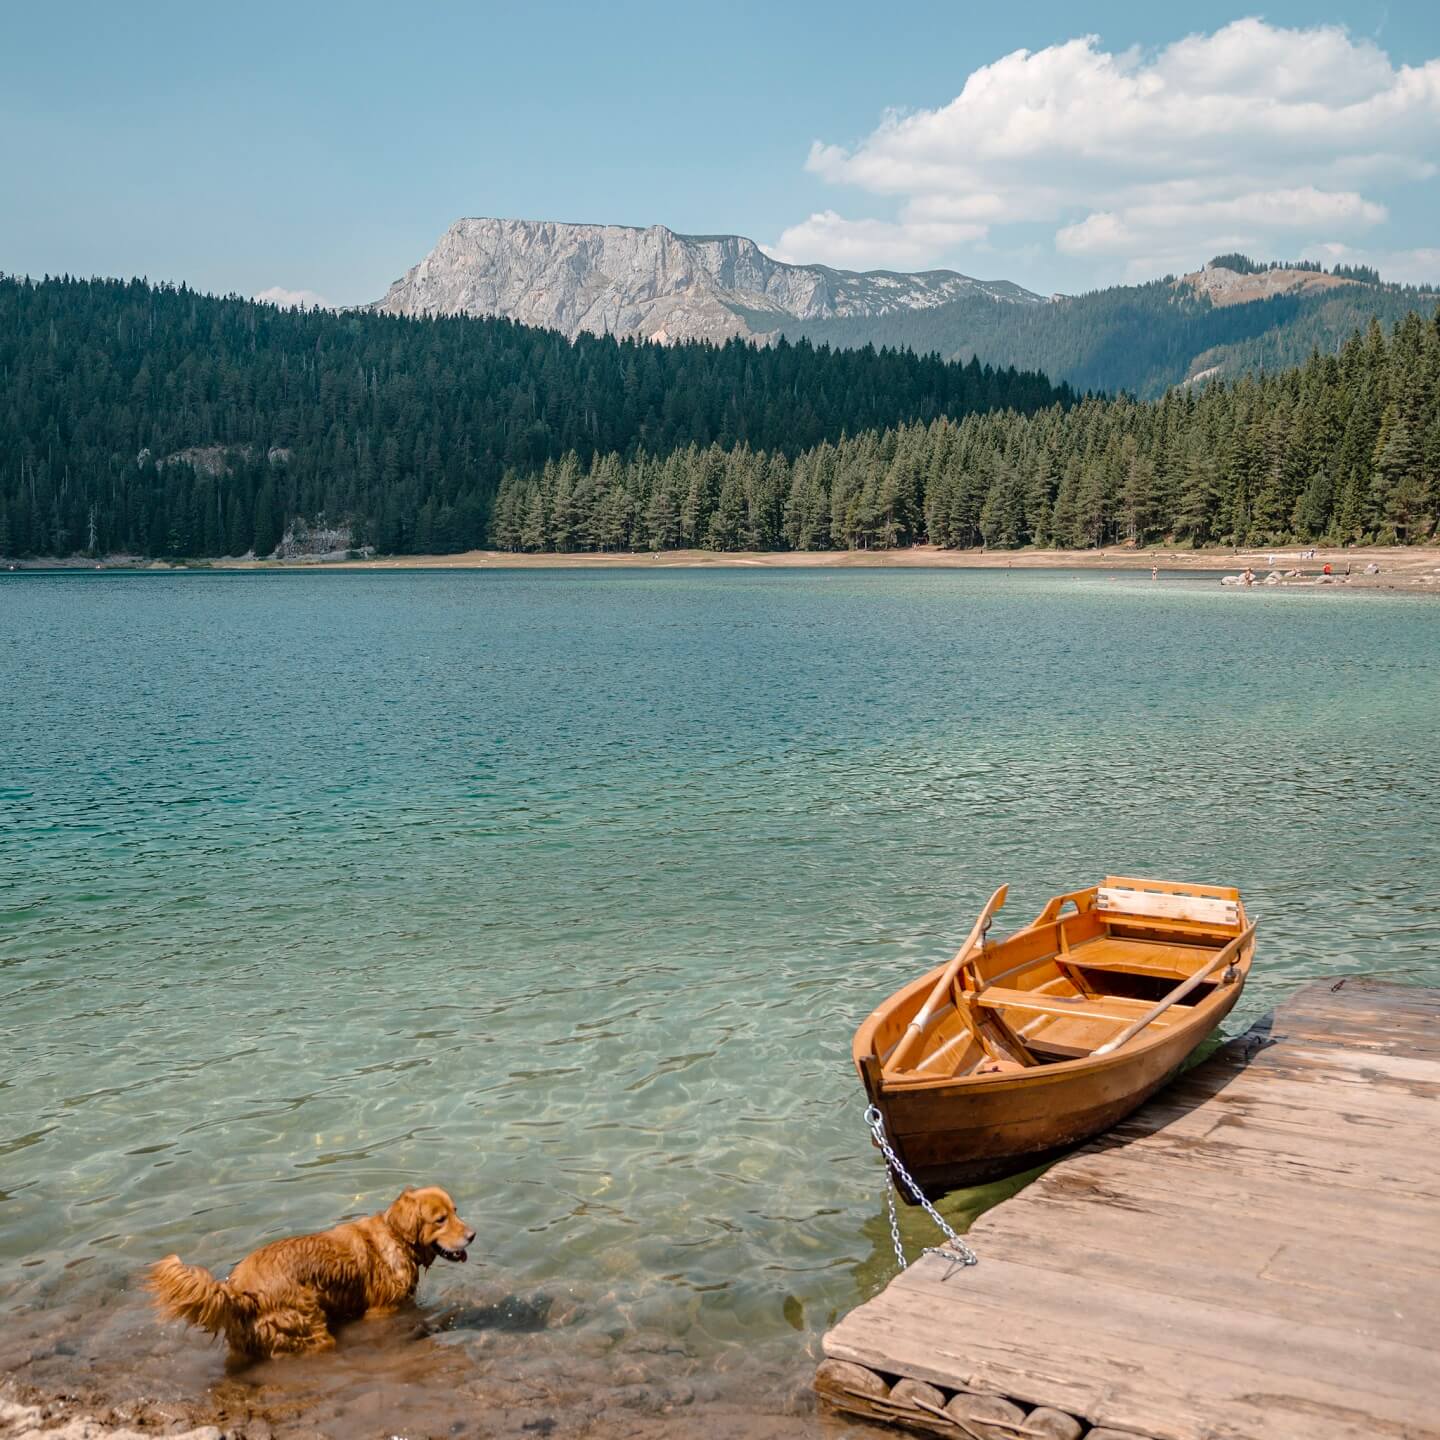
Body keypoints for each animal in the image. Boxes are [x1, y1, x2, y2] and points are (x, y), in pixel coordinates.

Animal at [147, 1180, 472, 1359]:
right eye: (440, 1219)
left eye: (456, 1211)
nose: (472, 1235)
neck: (396, 1237)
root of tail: (238, 1291)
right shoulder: (382, 1309)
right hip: (310, 1329)